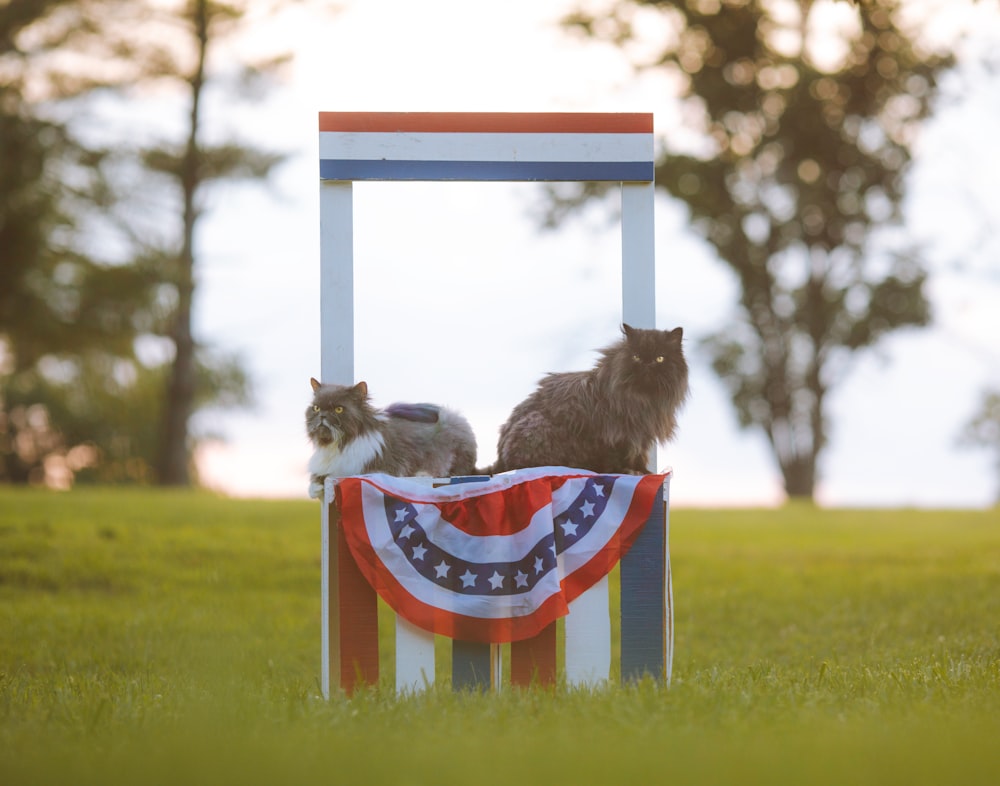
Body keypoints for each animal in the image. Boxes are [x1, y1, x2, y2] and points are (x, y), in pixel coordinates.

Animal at [486, 324, 688, 472]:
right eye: (636, 357)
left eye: (660, 358)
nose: (647, 365)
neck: (644, 399)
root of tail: (500, 460)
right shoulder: (616, 434)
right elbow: (619, 457)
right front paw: (627, 471)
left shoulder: (641, 435)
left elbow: (638, 456)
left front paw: (643, 472)